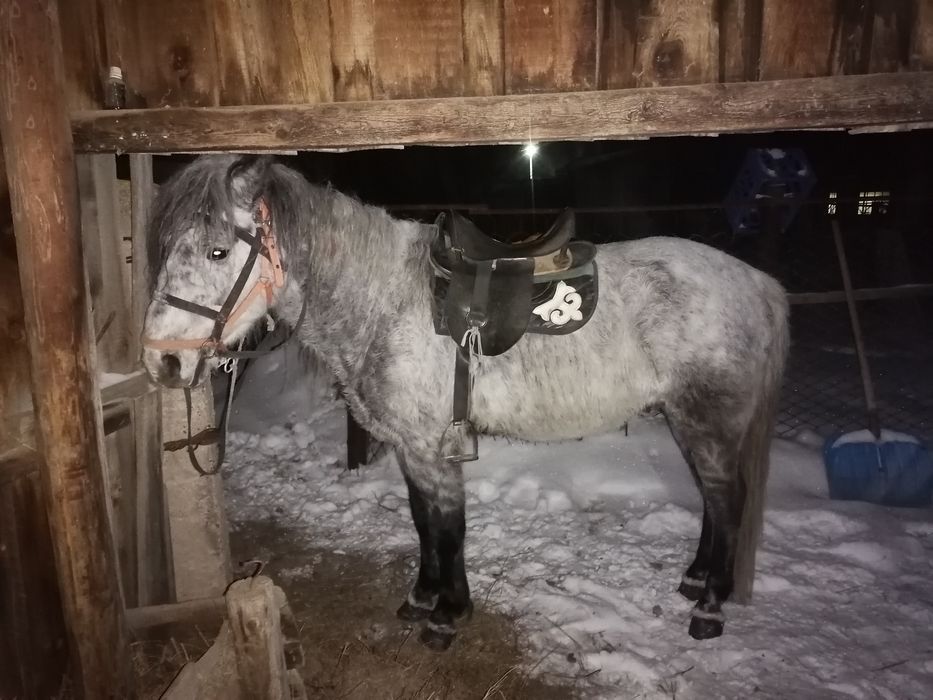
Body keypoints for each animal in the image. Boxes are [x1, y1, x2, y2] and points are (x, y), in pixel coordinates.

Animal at [141, 154, 790, 651]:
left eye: (219, 252)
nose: (161, 361)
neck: (381, 299)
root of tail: (758, 283)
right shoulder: (411, 447)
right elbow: (424, 522)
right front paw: (420, 598)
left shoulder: (432, 448)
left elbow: (449, 528)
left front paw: (448, 617)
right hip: (688, 420)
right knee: (713, 502)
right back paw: (696, 580)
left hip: (709, 421)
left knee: (728, 501)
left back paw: (708, 608)